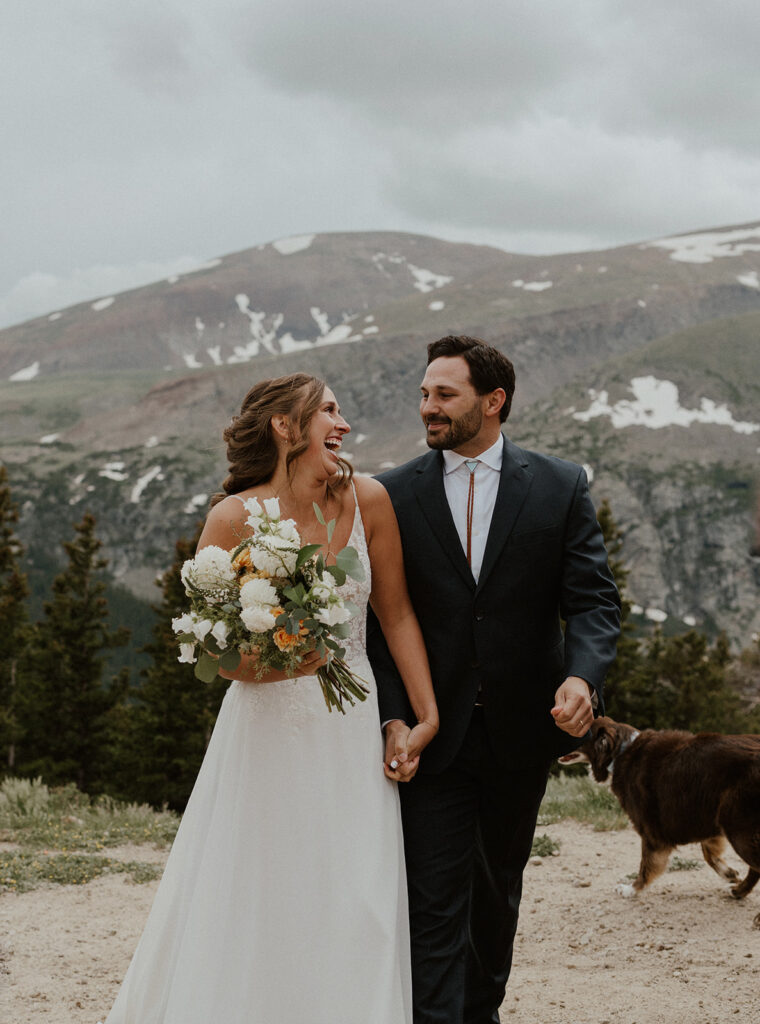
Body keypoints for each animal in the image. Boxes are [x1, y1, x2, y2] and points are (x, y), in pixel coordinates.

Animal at [561, 716, 760, 925]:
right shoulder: (704, 816)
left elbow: (645, 867)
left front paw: (630, 890)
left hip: (739, 828)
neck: (620, 752)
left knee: (757, 865)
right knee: (755, 868)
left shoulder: (651, 833)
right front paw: (729, 875)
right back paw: (738, 891)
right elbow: (709, 854)